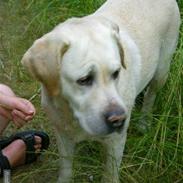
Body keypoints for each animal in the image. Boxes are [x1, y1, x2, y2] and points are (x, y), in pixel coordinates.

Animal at [20, 0, 179, 182]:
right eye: (84, 79)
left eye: (116, 73)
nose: (119, 119)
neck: (72, 114)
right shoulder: (62, 135)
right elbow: (66, 169)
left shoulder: (115, 142)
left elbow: (110, 174)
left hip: (161, 70)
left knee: (150, 95)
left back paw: (144, 123)